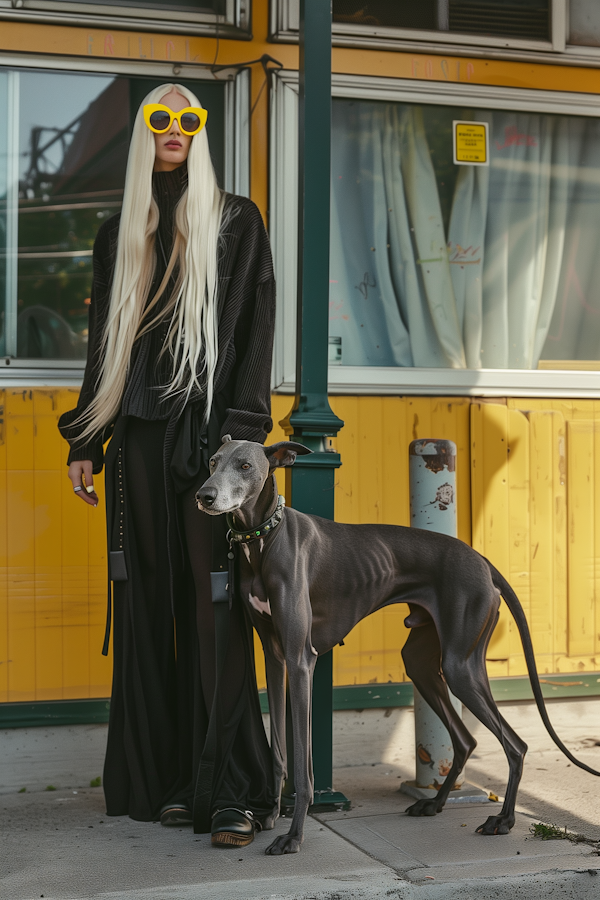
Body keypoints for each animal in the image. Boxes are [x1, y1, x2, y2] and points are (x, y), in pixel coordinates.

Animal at [197, 438, 600, 856]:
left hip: (460, 666)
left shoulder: (300, 661)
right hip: (422, 661)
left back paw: (503, 820)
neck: (265, 541)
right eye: (212, 461)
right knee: (466, 739)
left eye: (245, 465)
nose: (203, 496)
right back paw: (435, 803)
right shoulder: (275, 659)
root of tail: (483, 561)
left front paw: (293, 836)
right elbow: (278, 751)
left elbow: (303, 766)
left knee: (515, 745)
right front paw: (270, 817)